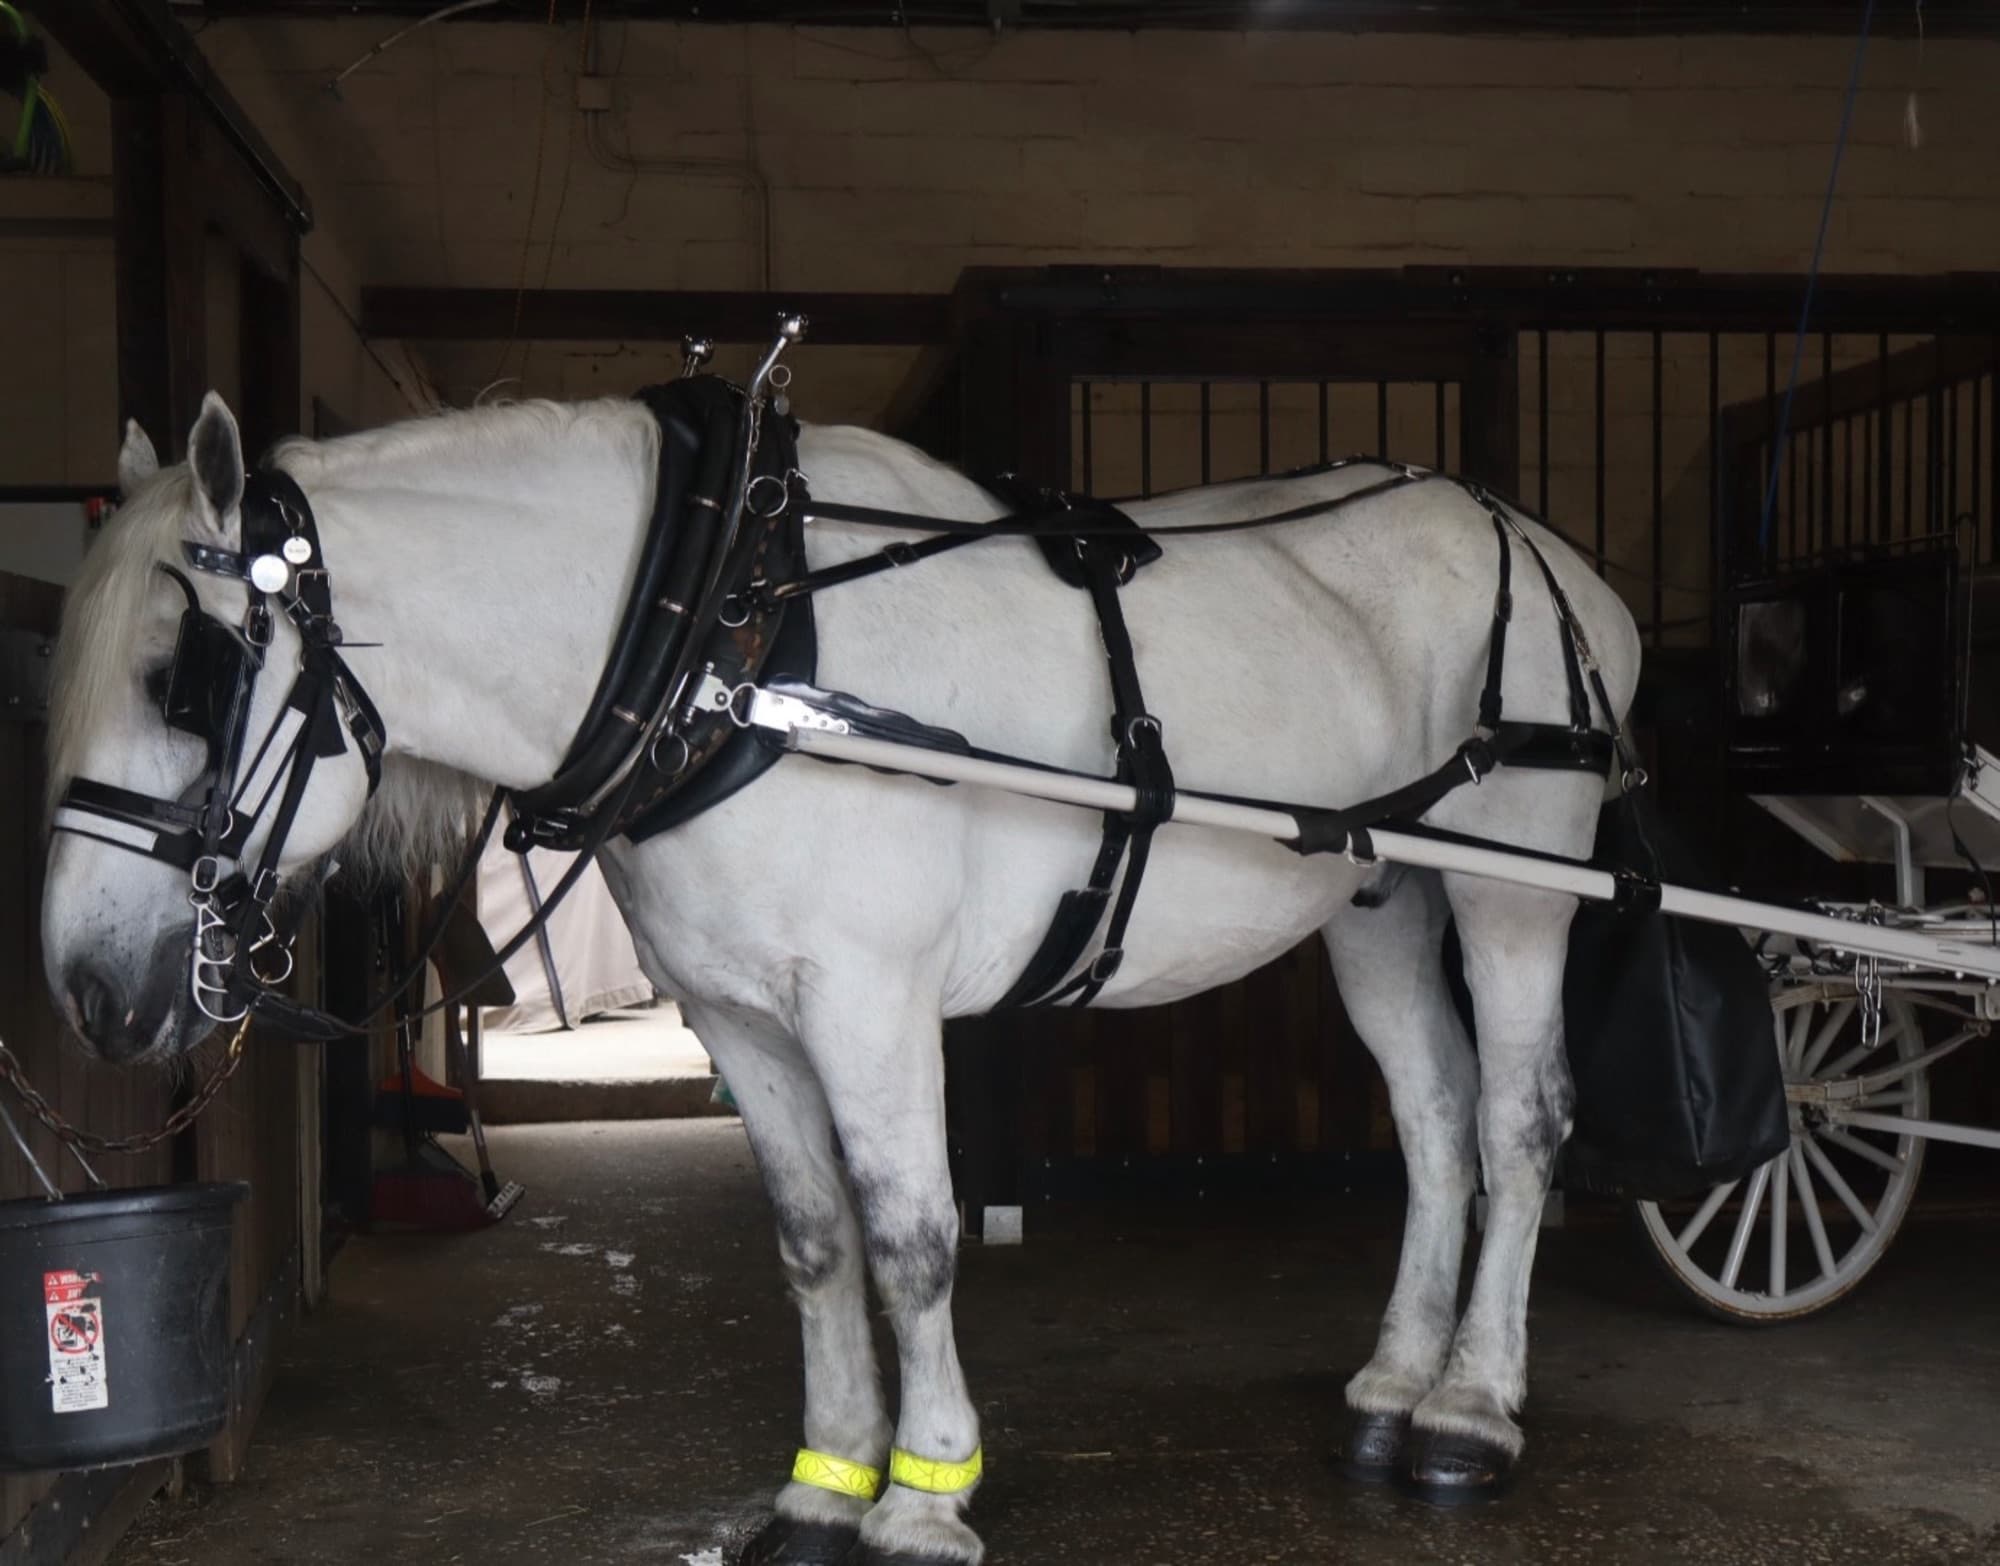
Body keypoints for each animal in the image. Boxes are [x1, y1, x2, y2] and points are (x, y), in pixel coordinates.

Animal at [41, 387, 1639, 1565]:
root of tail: (1559, 562)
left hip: (1513, 888)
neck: (723, 642)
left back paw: (1470, 1413)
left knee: (1517, 1121)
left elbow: (912, 1233)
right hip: (1375, 898)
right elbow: (815, 1239)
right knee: (1433, 1118)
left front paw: (928, 1492)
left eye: (182, 678)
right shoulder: (741, 1017)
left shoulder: (869, 1002)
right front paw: (825, 1483)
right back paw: (1395, 1385)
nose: (86, 992)